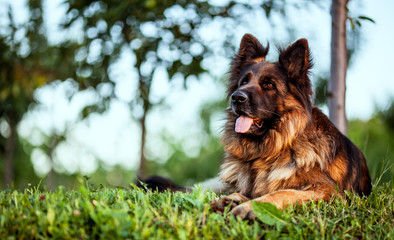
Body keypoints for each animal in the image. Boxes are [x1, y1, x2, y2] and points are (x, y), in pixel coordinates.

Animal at [209, 33, 372, 219]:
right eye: (243, 82)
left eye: (269, 84)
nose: (236, 97)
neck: (270, 150)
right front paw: (232, 200)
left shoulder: (329, 191)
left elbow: (283, 192)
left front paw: (248, 207)